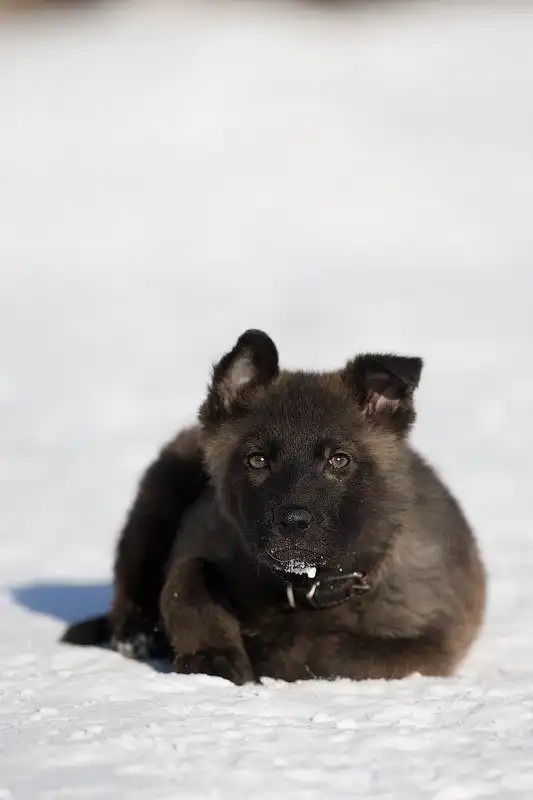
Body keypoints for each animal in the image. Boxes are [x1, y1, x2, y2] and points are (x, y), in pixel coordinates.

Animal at [63, 329, 486, 684]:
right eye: (257, 460)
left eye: (339, 460)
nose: (293, 523)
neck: (302, 589)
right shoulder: (201, 540)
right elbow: (186, 579)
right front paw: (213, 656)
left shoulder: (430, 645)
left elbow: (330, 650)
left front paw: (266, 651)